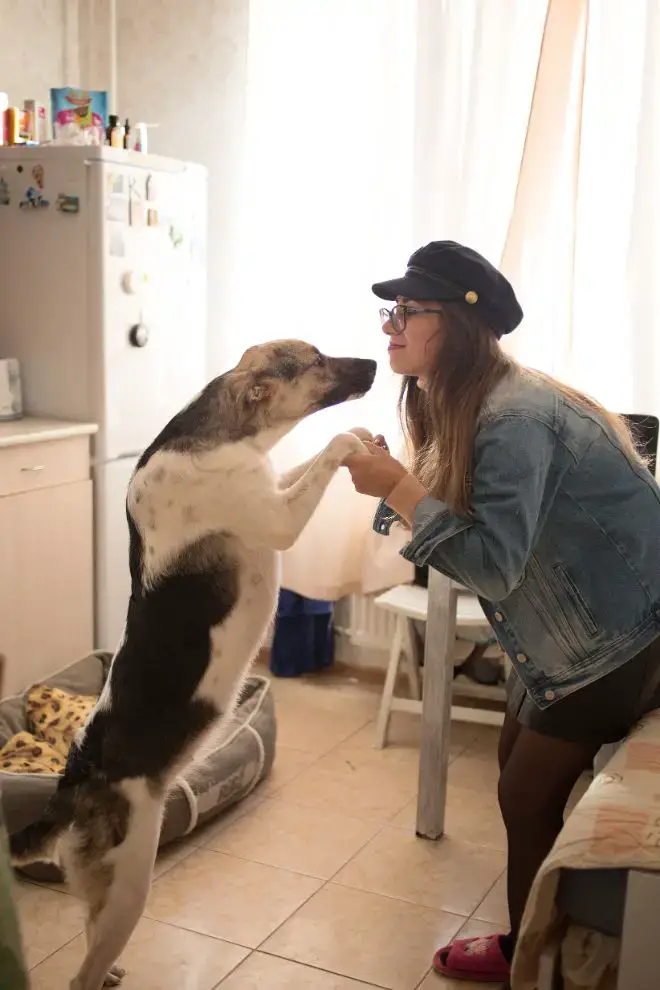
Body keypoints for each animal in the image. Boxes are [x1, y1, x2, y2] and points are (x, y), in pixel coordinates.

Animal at [9, 342, 376, 990]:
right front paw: (349, 440)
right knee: (80, 974)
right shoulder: (278, 519)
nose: (378, 367)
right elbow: (323, 456)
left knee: (90, 936)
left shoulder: (272, 485)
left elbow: (300, 464)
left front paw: (357, 436)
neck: (223, 433)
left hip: (105, 893)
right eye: (316, 361)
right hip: (132, 882)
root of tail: (74, 781)